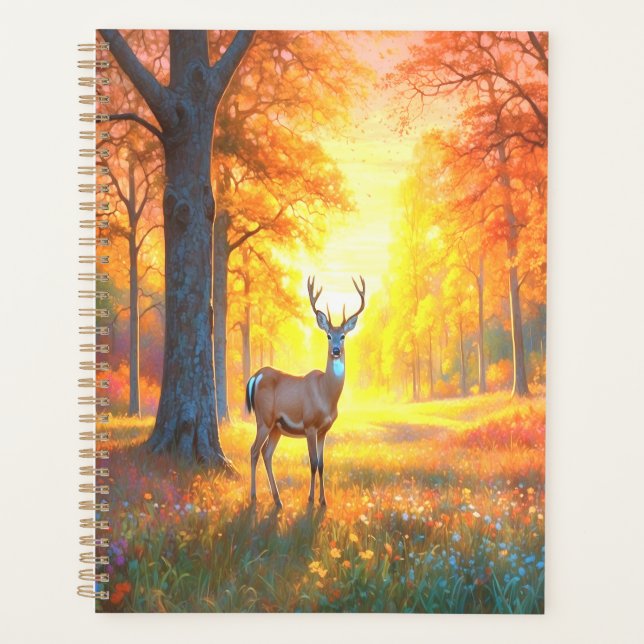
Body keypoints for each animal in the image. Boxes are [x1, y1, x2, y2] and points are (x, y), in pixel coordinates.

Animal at [245, 275, 366, 508]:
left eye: (343, 336)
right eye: (328, 335)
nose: (336, 351)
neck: (325, 395)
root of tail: (256, 376)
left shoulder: (324, 430)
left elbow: (322, 464)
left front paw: (323, 500)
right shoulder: (310, 424)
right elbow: (312, 462)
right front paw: (311, 499)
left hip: (276, 426)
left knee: (266, 453)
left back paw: (278, 499)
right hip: (263, 418)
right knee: (254, 450)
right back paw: (254, 496)